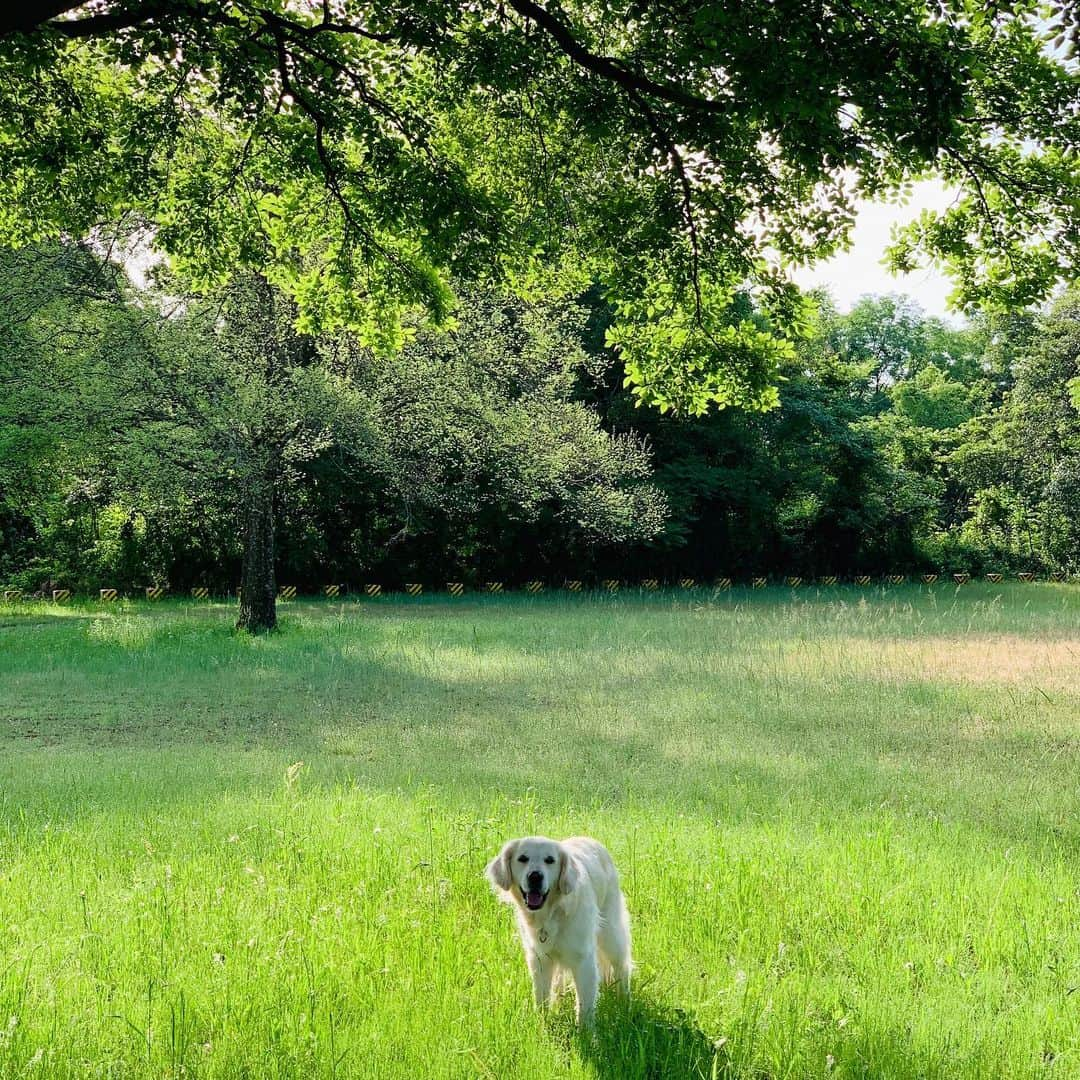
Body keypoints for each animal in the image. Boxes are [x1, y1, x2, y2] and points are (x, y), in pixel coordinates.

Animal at [483, 833, 630, 1028]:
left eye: (550, 860)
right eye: (522, 858)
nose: (535, 877)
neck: (551, 914)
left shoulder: (583, 960)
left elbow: (584, 1006)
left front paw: (586, 1034)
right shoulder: (539, 959)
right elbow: (542, 997)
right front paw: (542, 1025)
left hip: (611, 935)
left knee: (622, 966)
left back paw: (624, 1002)